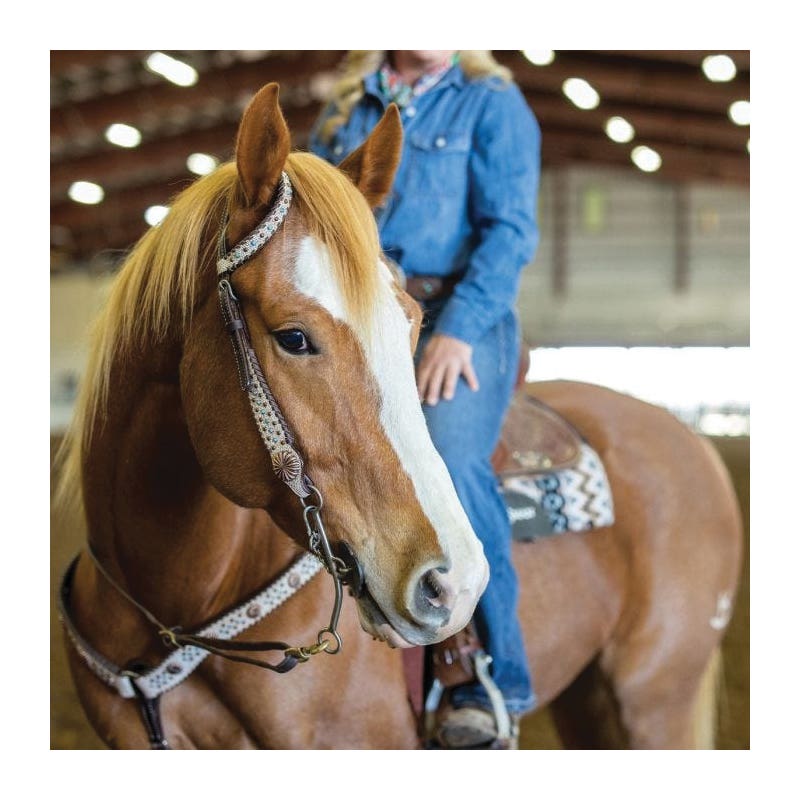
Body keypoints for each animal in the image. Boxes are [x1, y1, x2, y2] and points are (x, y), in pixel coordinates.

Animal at [55, 82, 742, 750]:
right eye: (293, 337)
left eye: (411, 323)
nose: (454, 584)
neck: (178, 611)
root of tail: (690, 440)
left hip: (651, 703)